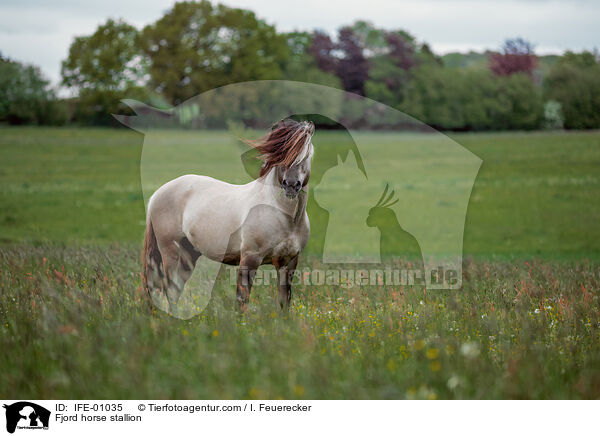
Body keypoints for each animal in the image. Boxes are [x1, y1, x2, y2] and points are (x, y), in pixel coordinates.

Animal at [140, 117, 314, 312]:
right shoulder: (250, 259)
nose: (291, 185)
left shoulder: (288, 263)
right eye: (282, 155)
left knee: (174, 289)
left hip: (188, 255)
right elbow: (241, 301)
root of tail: (157, 194)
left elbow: (284, 304)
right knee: (169, 289)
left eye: (307, 154)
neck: (284, 217)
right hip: (170, 251)